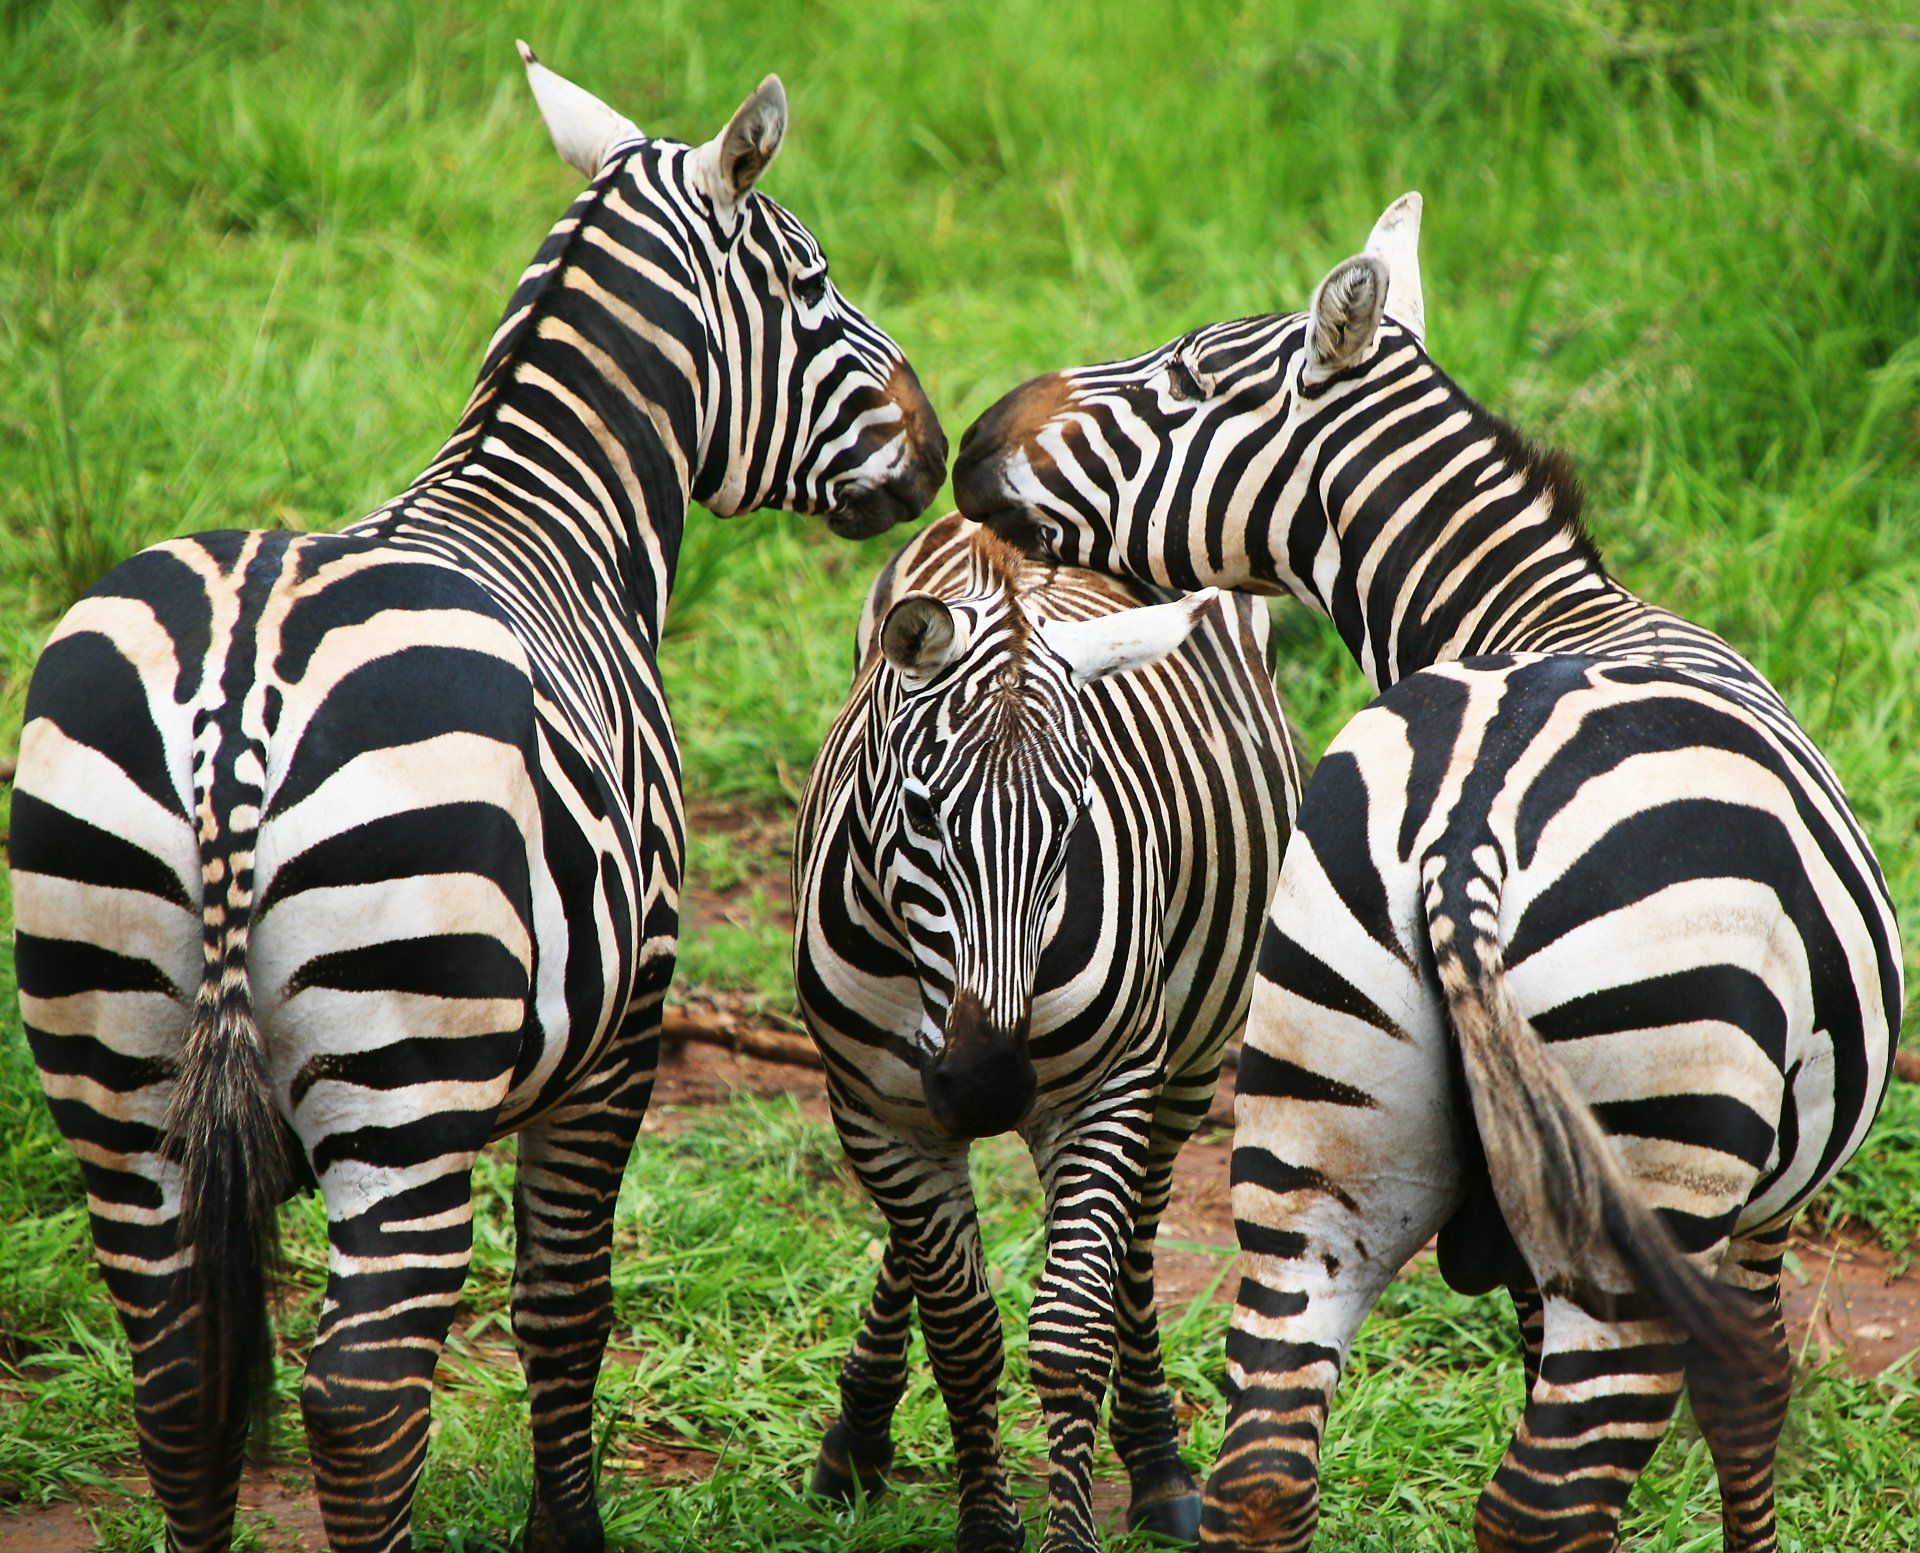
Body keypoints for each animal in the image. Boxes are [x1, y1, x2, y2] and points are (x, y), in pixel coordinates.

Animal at [11, 46, 944, 1553]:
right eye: (813, 282)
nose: (931, 445)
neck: (558, 515)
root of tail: (240, 690)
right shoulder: (626, 1029)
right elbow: (567, 1310)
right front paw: (568, 1529)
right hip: (404, 1073)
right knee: (364, 1389)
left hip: (112, 1054)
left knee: (175, 1376)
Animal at [794, 513, 1300, 1552]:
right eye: (920, 812)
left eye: (1072, 821)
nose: (988, 1084)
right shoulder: (875, 1107)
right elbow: (961, 1328)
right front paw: (985, 1519)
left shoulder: (1106, 1092)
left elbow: (1073, 1333)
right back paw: (856, 1437)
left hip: (1187, 1060)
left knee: (1137, 1243)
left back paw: (1158, 1463)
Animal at [951, 194, 1901, 1552]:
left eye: (1185, 378)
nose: (973, 437)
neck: (1543, 614)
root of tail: (1469, 833)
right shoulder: (1753, 1217)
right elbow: (1752, 1399)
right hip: (1645, 1179)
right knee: (1540, 1502)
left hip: (1313, 1133)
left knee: (1267, 1472)